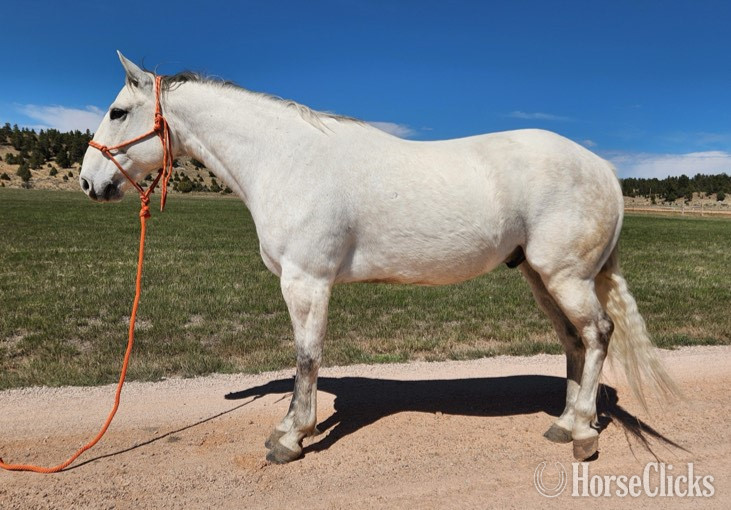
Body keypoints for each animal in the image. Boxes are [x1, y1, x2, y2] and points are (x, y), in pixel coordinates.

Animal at [80, 52, 678, 464]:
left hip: (565, 276)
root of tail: (603, 169)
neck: (285, 159)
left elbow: (307, 357)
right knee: (574, 342)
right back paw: (565, 422)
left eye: (117, 111)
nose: (90, 183)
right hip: (539, 275)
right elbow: (307, 359)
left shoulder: (307, 281)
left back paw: (581, 434)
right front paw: (296, 429)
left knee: (598, 334)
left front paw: (291, 437)